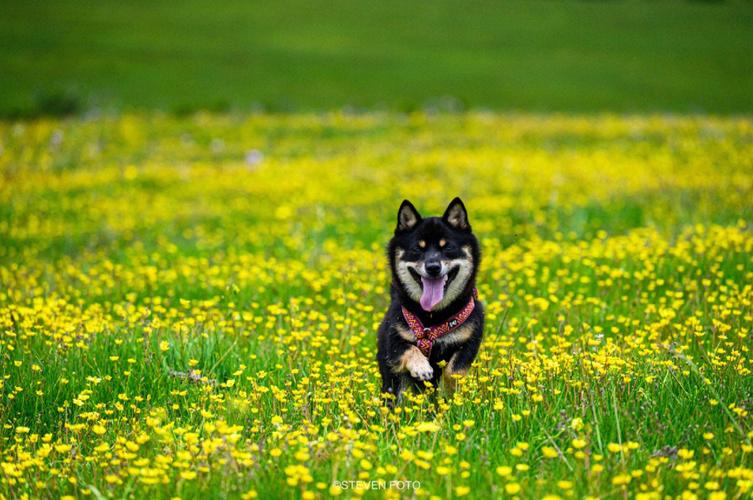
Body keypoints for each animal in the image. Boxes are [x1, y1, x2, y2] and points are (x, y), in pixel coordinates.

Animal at [374, 197, 482, 404]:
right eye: (418, 248)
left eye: (448, 247)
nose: (433, 266)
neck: (432, 318)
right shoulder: (394, 340)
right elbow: (408, 348)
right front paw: (421, 367)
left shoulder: (469, 340)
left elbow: (453, 370)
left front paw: (449, 393)